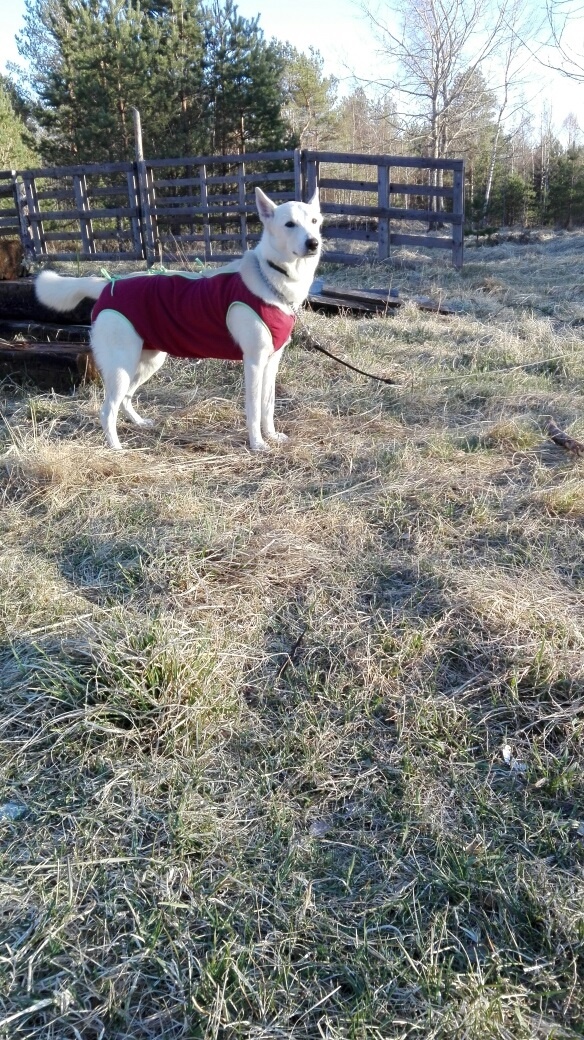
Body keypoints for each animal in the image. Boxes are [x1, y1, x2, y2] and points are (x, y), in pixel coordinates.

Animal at [35, 187, 322, 451]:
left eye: (314, 221)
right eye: (289, 224)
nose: (313, 243)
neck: (270, 277)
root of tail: (109, 284)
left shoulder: (271, 363)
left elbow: (268, 406)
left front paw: (271, 436)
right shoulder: (253, 362)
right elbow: (253, 410)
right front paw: (257, 444)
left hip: (147, 362)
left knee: (126, 399)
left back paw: (139, 423)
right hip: (121, 367)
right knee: (107, 410)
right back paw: (116, 449)